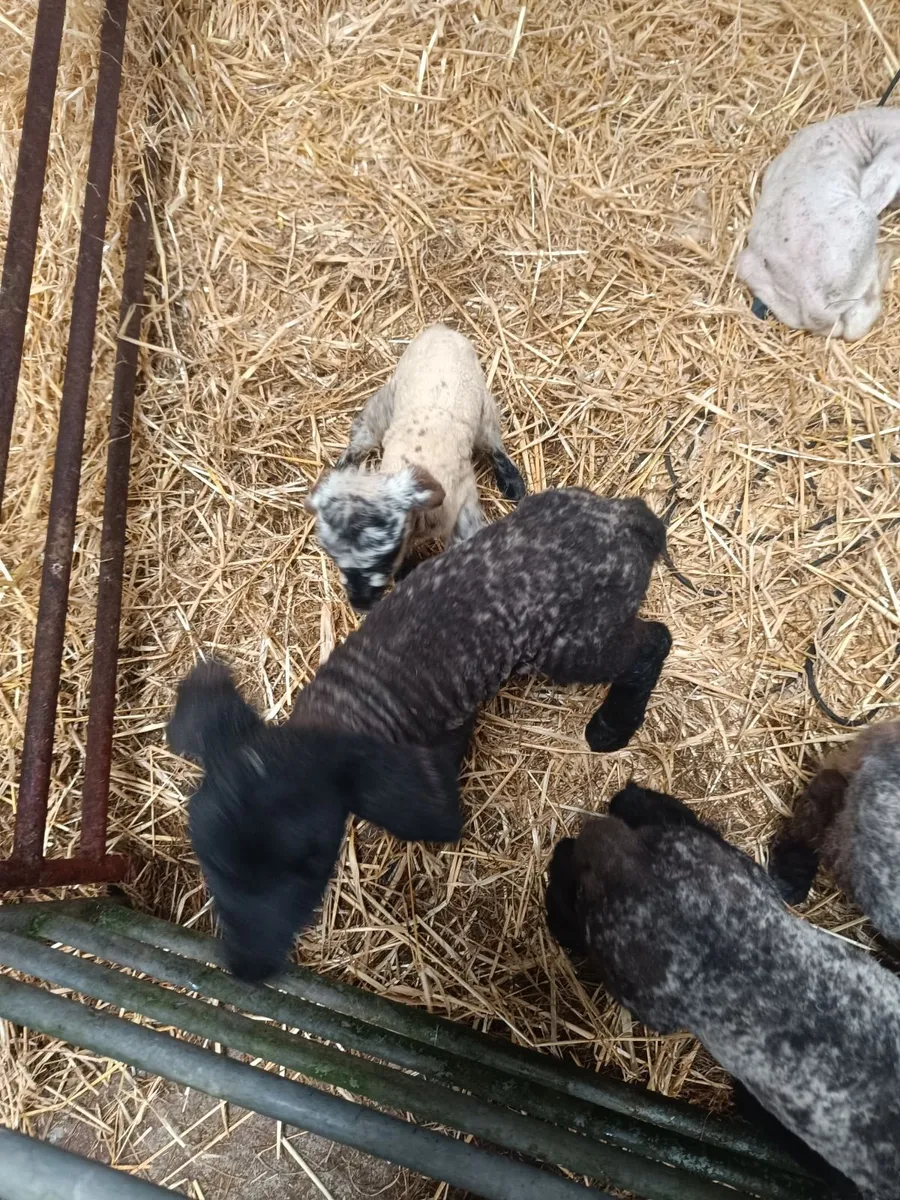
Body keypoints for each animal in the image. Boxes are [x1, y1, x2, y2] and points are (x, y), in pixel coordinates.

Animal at [167, 488, 671, 982]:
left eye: (309, 865)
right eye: (209, 862)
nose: (246, 968)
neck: (339, 714)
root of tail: (626, 518)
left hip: (573, 643)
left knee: (653, 640)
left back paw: (613, 724)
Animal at [305, 324, 526, 612]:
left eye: (385, 554)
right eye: (332, 555)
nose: (361, 604)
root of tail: (441, 329)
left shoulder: (464, 504)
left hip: (484, 410)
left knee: (494, 445)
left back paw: (513, 483)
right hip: (387, 399)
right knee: (363, 433)